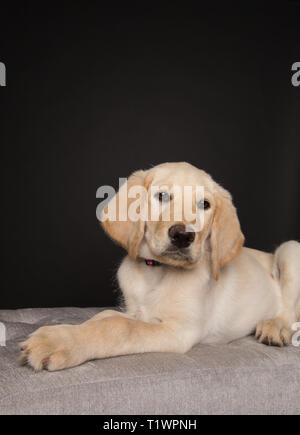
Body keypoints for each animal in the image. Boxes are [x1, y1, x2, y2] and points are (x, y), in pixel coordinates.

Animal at [19, 162, 300, 372]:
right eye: (162, 196)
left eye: (205, 204)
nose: (183, 236)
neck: (157, 272)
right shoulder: (137, 312)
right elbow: (106, 317)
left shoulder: (179, 331)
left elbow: (119, 328)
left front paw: (57, 342)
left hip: (291, 250)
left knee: (289, 312)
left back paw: (275, 327)